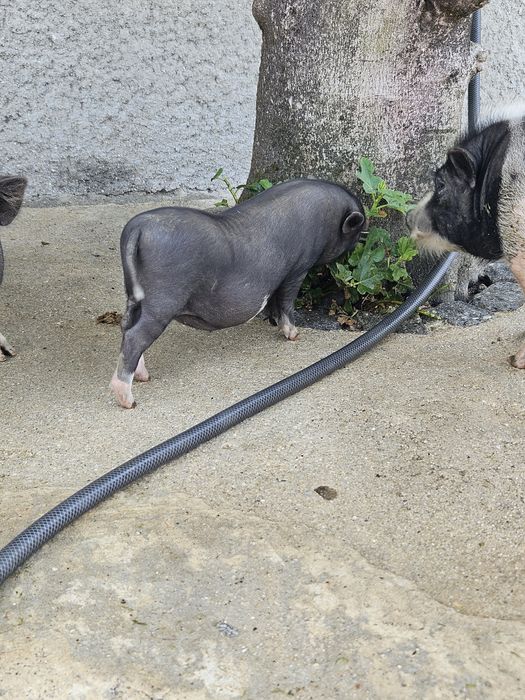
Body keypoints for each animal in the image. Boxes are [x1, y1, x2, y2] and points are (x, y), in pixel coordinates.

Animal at [110, 179, 366, 408]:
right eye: (357, 232)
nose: (361, 242)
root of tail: (138, 227)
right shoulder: (298, 268)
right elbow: (286, 301)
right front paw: (294, 335)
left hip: (134, 294)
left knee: (126, 326)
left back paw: (143, 376)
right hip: (162, 300)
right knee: (135, 336)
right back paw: (130, 401)